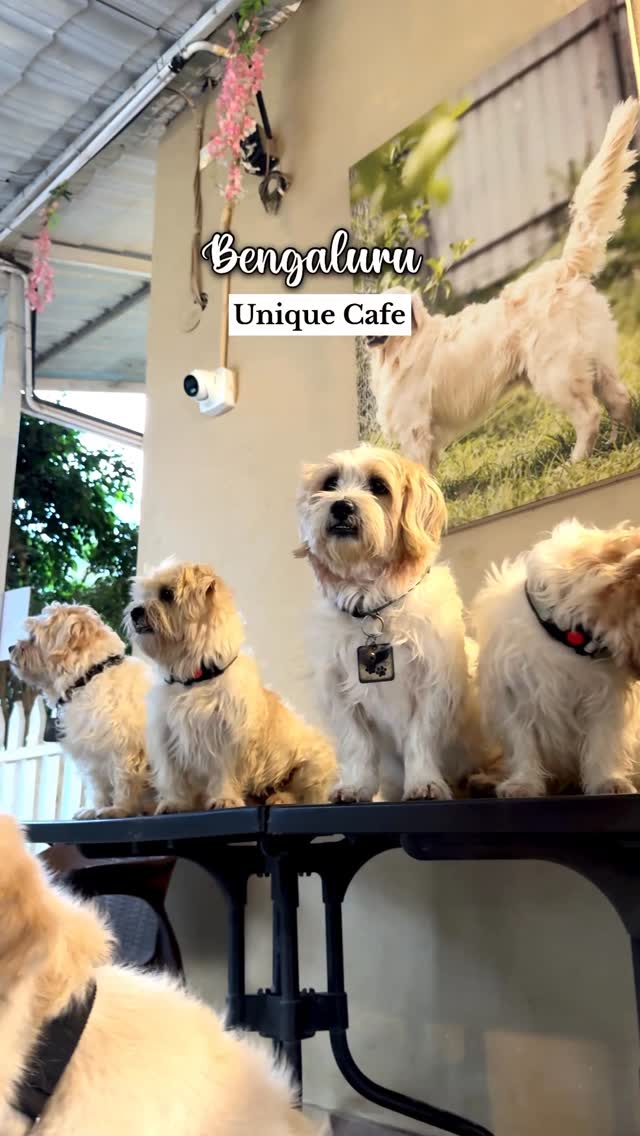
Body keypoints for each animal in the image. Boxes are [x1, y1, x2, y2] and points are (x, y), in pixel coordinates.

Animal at [9, 604, 152, 819]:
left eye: (33, 636)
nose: (10, 647)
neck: (89, 677)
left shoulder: (125, 748)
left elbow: (124, 780)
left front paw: (120, 808)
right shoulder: (92, 754)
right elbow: (98, 787)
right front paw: (94, 808)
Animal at [124, 561, 336, 812]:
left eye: (167, 593)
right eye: (140, 595)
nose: (135, 611)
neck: (195, 677)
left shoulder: (229, 734)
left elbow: (224, 771)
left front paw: (225, 798)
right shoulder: (166, 736)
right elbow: (172, 775)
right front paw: (174, 803)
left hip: (312, 765)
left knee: (308, 794)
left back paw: (281, 797)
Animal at [295, 444, 485, 802]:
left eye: (379, 486)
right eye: (330, 483)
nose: (341, 505)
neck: (372, 603)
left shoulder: (435, 684)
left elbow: (420, 739)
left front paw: (424, 782)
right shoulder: (337, 690)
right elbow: (356, 744)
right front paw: (355, 785)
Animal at [367, 98, 639, 469]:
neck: (400, 348)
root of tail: (561, 269)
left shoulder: (414, 429)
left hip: (555, 374)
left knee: (589, 414)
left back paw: (576, 460)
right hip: (598, 362)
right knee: (620, 399)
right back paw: (619, 443)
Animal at [472, 519, 640, 798]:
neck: (567, 638)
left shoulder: (604, 698)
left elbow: (602, 741)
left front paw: (606, 780)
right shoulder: (514, 694)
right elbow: (522, 743)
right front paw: (524, 783)